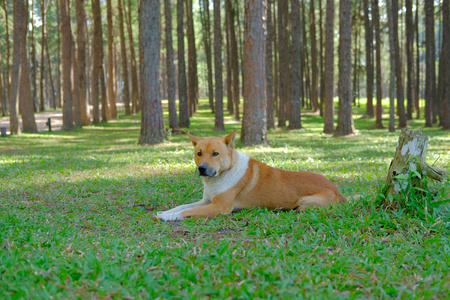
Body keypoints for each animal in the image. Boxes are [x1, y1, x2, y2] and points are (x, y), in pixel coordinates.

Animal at [156, 128, 346, 220]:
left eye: (215, 153)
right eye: (199, 153)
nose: (202, 168)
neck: (226, 171)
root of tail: (337, 190)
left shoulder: (218, 207)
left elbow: (187, 212)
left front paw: (168, 217)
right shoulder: (207, 201)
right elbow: (183, 206)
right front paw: (165, 212)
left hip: (304, 204)